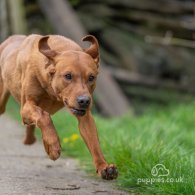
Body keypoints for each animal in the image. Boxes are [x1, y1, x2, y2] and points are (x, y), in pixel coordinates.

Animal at [0, 34, 117, 180]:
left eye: (91, 77)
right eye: (68, 76)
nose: (84, 101)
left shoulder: (85, 117)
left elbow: (94, 142)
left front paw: (104, 167)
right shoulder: (26, 107)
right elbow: (43, 115)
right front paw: (52, 146)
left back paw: (29, 138)